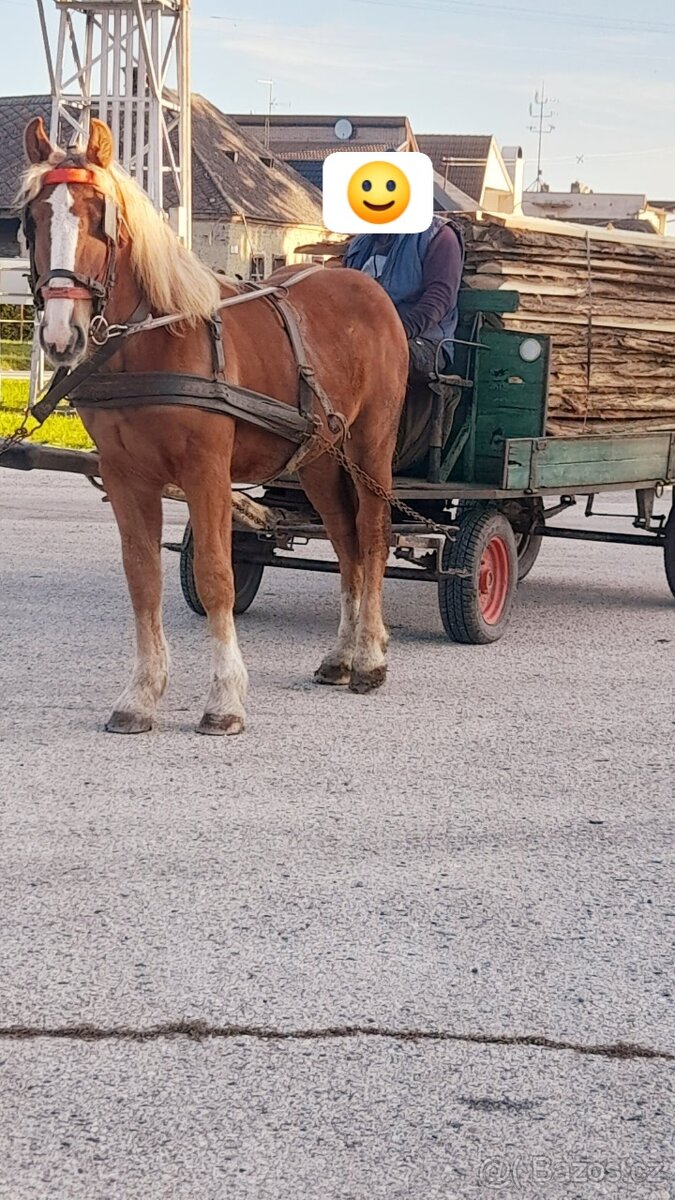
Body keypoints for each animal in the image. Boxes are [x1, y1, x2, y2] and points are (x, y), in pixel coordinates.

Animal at [19, 121, 410, 734]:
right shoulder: (127, 477)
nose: (62, 336)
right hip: (321, 459)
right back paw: (342, 655)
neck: (153, 341)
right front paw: (141, 694)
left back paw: (369, 656)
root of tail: (366, 288)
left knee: (372, 538)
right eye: (32, 218)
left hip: (371, 448)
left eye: (100, 216)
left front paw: (225, 698)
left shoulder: (206, 473)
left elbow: (215, 576)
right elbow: (143, 578)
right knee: (346, 544)